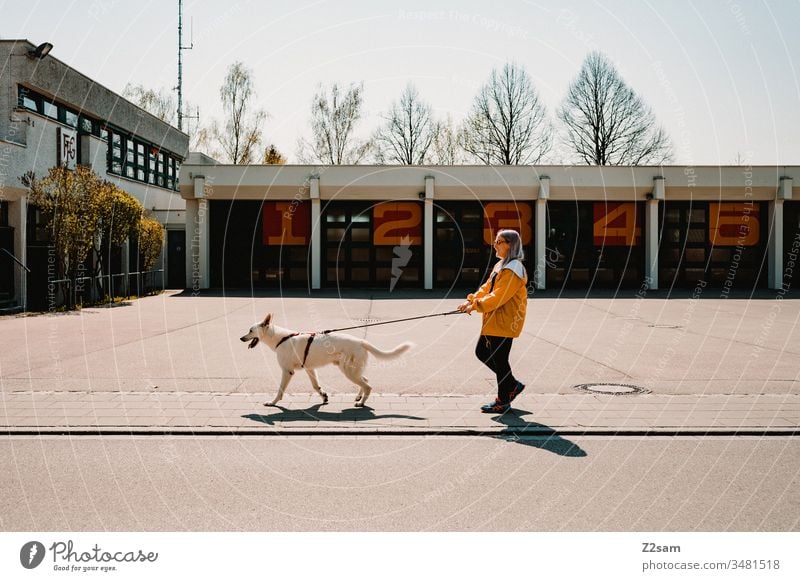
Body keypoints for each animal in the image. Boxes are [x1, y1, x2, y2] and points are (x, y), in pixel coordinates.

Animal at [239, 314, 412, 406]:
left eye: (250, 330)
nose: (241, 338)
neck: (281, 338)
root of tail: (361, 341)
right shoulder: (310, 369)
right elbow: (316, 386)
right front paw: (323, 397)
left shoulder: (287, 371)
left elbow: (280, 390)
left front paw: (273, 402)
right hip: (353, 370)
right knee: (365, 380)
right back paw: (358, 397)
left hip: (349, 372)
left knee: (368, 386)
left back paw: (361, 403)